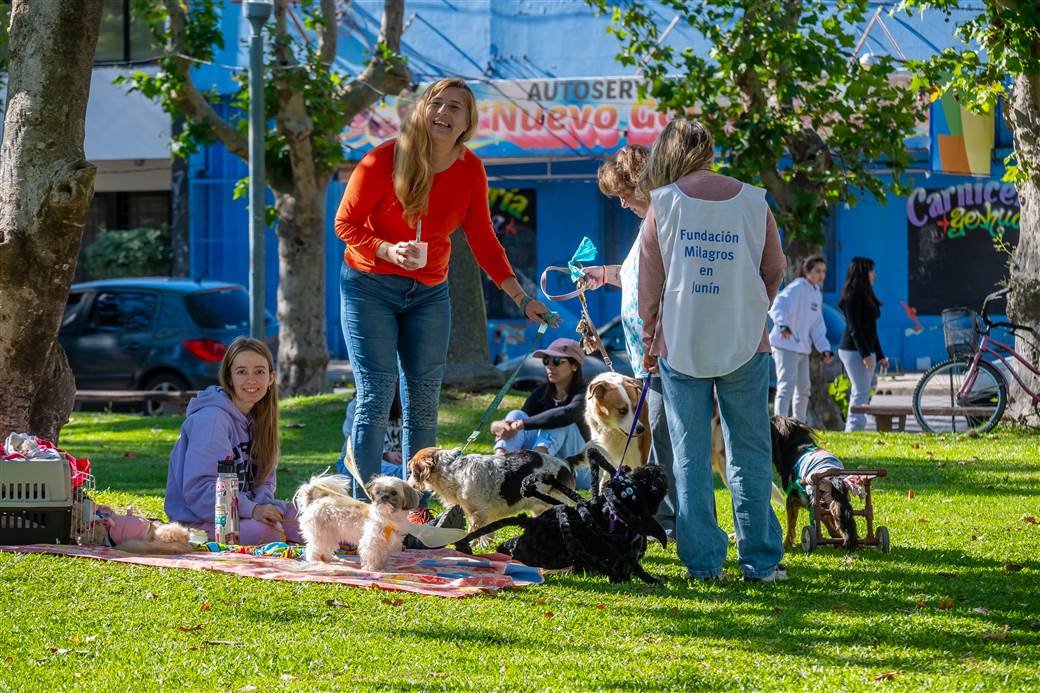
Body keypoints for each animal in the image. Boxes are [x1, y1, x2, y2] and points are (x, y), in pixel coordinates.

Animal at [769, 412, 856, 549]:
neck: (798, 444)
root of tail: (833, 479)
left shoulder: (792, 499)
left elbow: (790, 525)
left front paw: (787, 543)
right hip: (836, 502)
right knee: (839, 520)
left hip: (817, 502)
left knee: (827, 521)